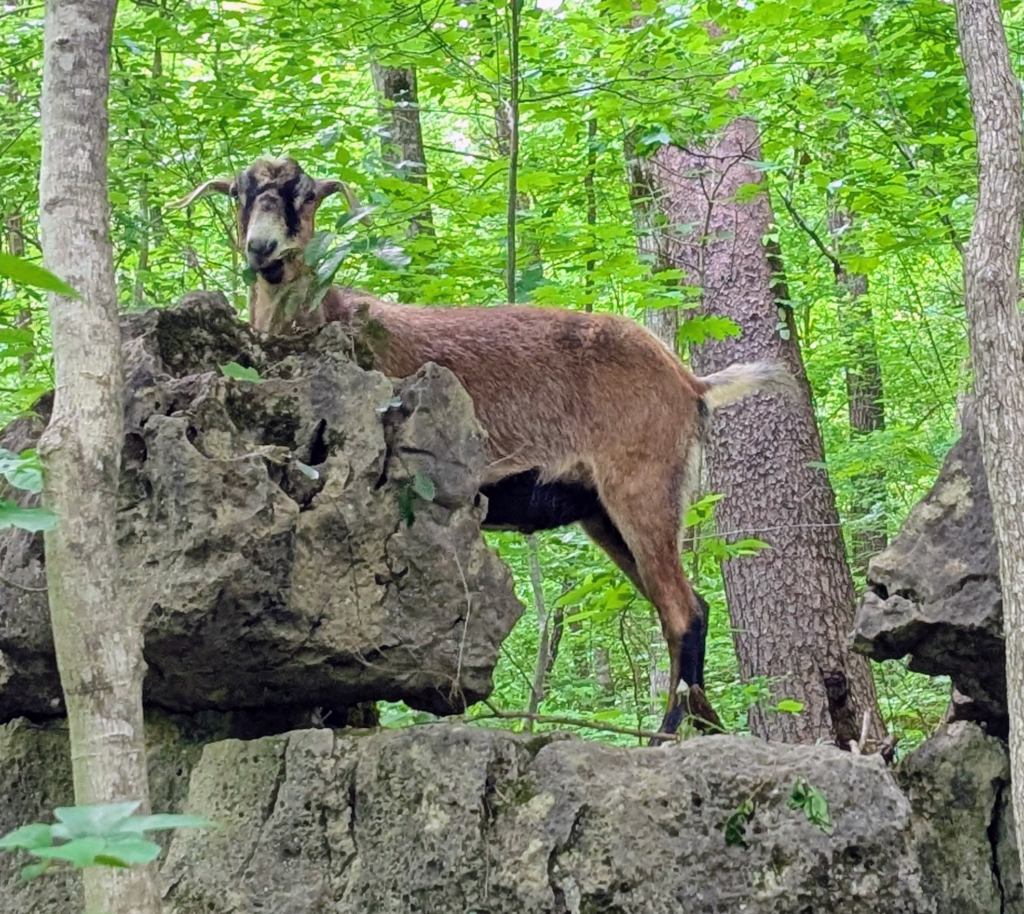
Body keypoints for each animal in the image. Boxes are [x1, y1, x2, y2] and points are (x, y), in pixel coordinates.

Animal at [171, 156, 797, 736]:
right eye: (241, 195)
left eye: (304, 196)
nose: (263, 249)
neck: (326, 312)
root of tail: (690, 383)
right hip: (602, 513)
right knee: (690, 608)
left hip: (642, 487)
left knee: (683, 612)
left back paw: (666, 735)